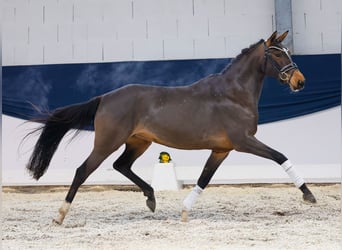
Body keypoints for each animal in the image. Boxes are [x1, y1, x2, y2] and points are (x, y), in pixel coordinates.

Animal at [26, 31, 318, 225]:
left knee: (121, 165)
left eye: (288, 52)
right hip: (108, 142)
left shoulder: (222, 149)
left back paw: (151, 198)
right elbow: (280, 157)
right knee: (83, 171)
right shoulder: (243, 141)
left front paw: (185, 211)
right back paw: (60, 216)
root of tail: (104, 98)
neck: (233, 94)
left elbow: (204, 179)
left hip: (139, 142)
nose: (300, 82)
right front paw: (309, 195)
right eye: (277, 53)